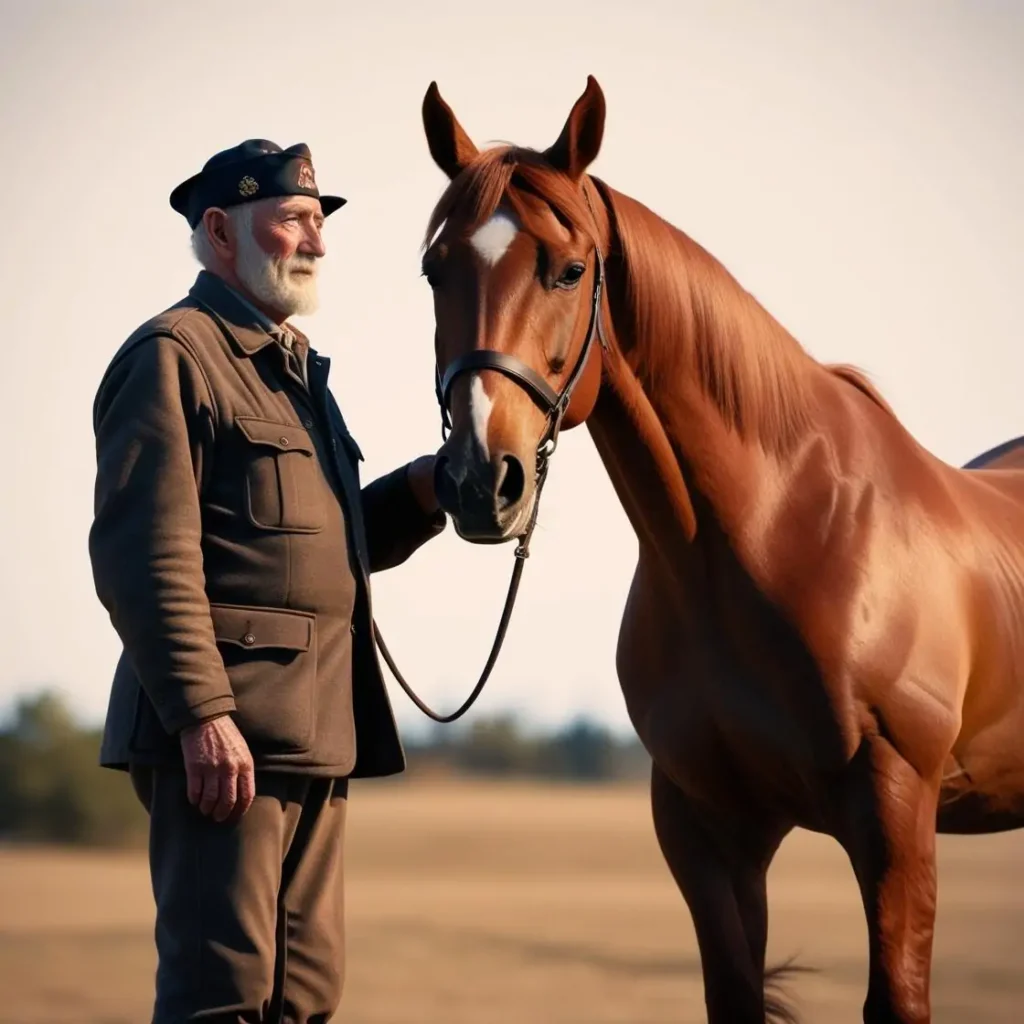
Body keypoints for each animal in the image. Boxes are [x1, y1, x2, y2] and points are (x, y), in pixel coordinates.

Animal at [411, 75, 1024, 1019]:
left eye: (569, 270)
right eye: (435, 269)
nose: (482, 480)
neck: (773, 541)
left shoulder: (896, 816)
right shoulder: (707, 829)